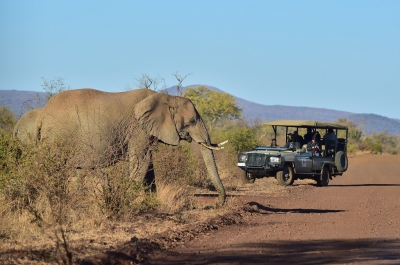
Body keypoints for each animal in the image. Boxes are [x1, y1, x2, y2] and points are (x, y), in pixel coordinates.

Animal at [30, 88, 228, 204]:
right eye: (192, 121)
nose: (218, 203)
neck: (167, 98)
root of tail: (42, 115)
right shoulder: (138, 129)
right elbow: (141, 161)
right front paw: (133, 200)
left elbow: (148, 165)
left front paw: (151, 202)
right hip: (57, 137)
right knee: (56, 170)